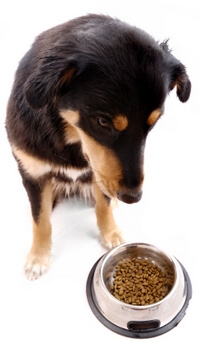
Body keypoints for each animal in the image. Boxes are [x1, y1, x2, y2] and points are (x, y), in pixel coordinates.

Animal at [5, 14, 191, 280]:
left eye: (153, 123)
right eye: (103, 122)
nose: (133, 198)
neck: (70, 137)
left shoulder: (100, 173)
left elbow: (103, 206)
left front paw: (110, 234)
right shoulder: (33, 173)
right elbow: (40, 220)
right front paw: (38, 258)